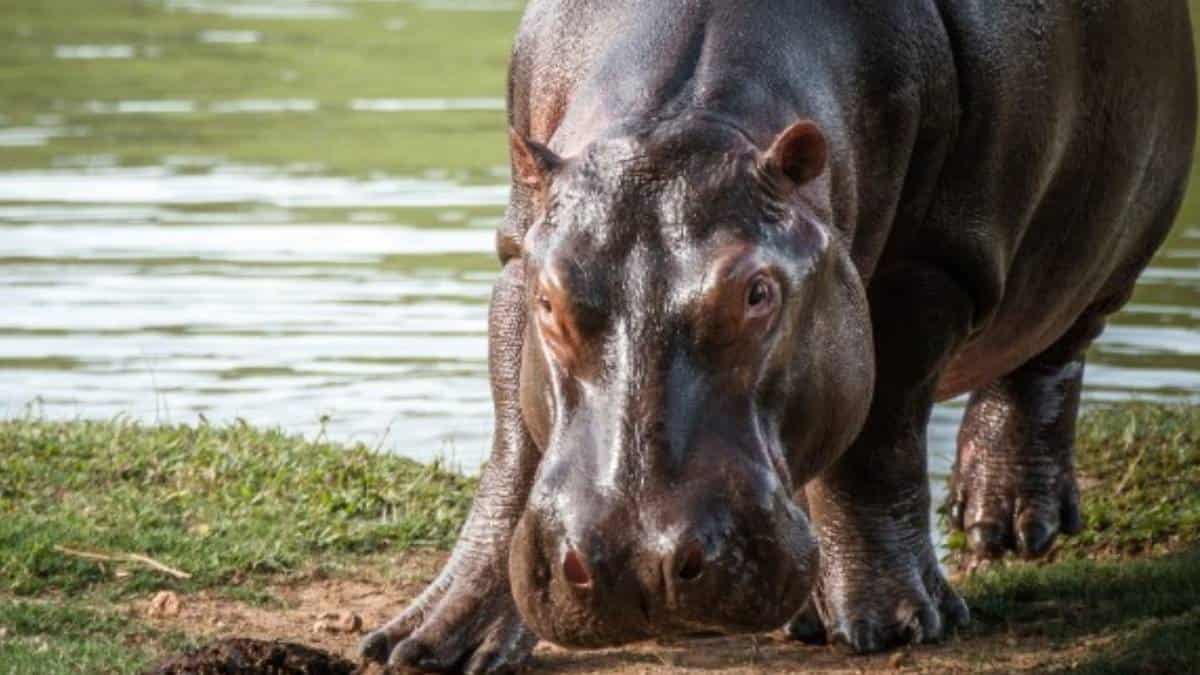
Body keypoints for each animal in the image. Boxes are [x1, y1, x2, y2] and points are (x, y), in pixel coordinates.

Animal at [362, 1, 1197, 671]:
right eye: (549, 300)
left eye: (758, 292)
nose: (638, 562)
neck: (682, 120)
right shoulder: (520, 242)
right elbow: (518, 444)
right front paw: (426, 643)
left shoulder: (927, 264)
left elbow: (877, 437)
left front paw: (896, 623)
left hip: (1111, 236)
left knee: (1049, 351)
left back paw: (1008, 523)